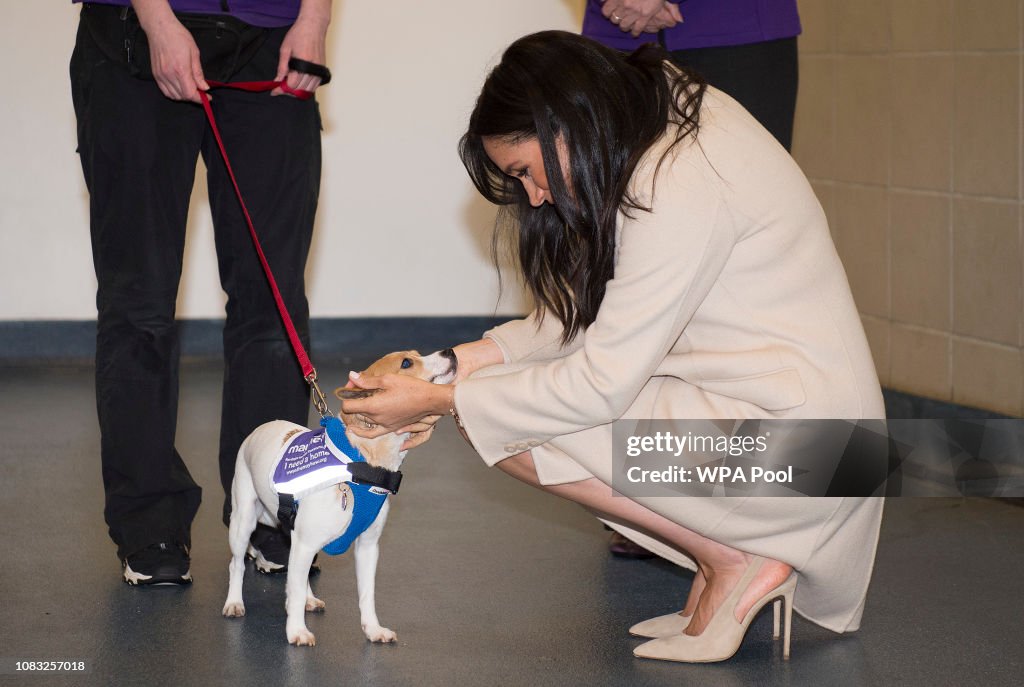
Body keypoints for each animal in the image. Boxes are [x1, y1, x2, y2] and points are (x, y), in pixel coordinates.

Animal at [222, 350, 458, 647]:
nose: (450, 351)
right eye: (407, 363)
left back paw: (309, 598)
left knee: (297, 574)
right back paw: (234, 602)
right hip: (243, 523)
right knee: (237, 564)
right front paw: (297, 631)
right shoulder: (305, 542)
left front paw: (372, 629)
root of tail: (259, 430)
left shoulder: (367, 548)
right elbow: (291, 589)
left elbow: (366, 594)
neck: (359, 464)